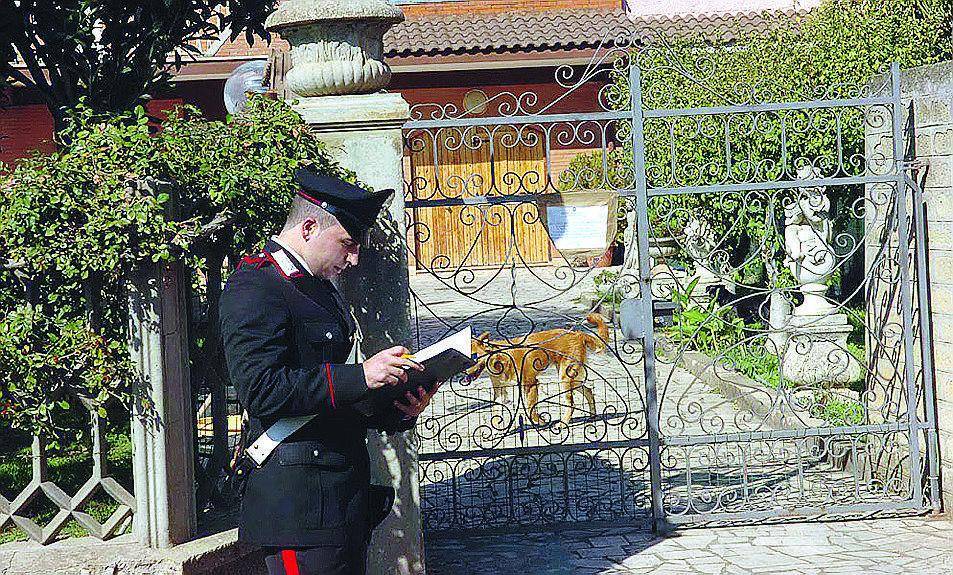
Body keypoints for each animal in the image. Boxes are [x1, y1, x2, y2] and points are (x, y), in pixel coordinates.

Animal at [468, 316, 608, 428]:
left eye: (473, 356)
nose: (464, 373)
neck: (500, 360)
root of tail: (577, 334)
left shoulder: (531, 384)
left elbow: (530, 407)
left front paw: (540, 421)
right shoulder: (500, 390)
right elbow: (496, 411)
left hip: (565, 379)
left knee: (571, 403)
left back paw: (562, 424)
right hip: (572, 380)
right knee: (589, 391)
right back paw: (592, 415)